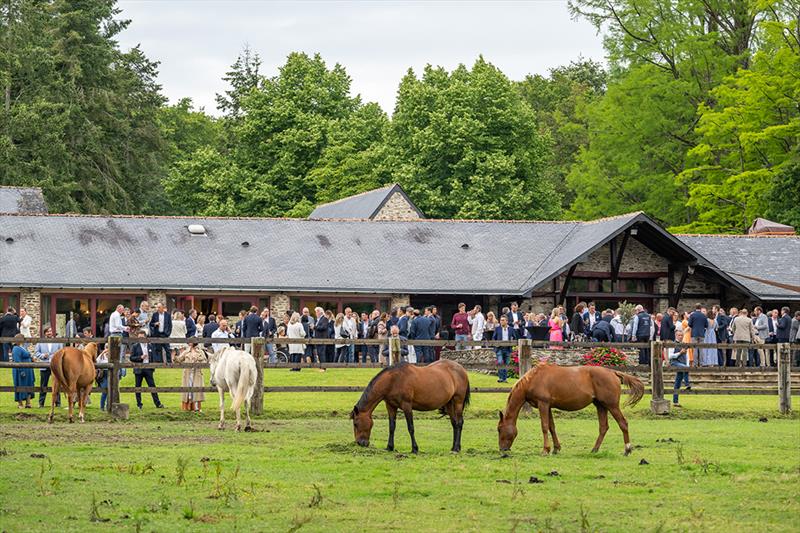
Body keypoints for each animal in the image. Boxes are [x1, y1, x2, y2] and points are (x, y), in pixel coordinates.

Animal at [496, 362, 648, 454]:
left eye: (499, 429)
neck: (533, 379)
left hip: (612, 405)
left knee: (623, 423)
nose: (502, 449)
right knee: (603, 427)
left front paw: (546, 449)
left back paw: (627, 449)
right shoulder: (548, 406)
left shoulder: (543, 404)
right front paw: (556, 448)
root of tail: (613, 373)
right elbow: (551, 427)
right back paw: (594, 449)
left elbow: (544, 426)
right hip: (600, 406)